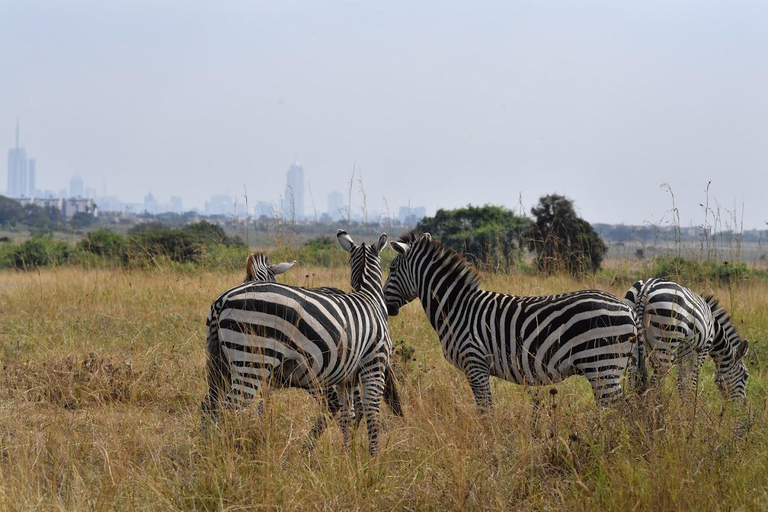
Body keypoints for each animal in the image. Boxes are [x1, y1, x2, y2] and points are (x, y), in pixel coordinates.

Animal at [201, 230, 392, 454]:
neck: (368, 296)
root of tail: (221, 301)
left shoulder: (347, 375)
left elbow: (348, 415)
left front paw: (347, 455)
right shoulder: (375, 364)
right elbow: (373, 416)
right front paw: (372, 458)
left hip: (221, 363)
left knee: (210, 406)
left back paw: (207, 451)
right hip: (252, 362)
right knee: (229, 409)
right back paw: (227, 452)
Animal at [384, 232, 640, 408]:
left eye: (392, 268)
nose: (385, 306)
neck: (456, 308)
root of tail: (626, 307)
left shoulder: (475, 362)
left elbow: (485, 412)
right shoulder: (478, 366)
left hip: (602, 365)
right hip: (608, 368)